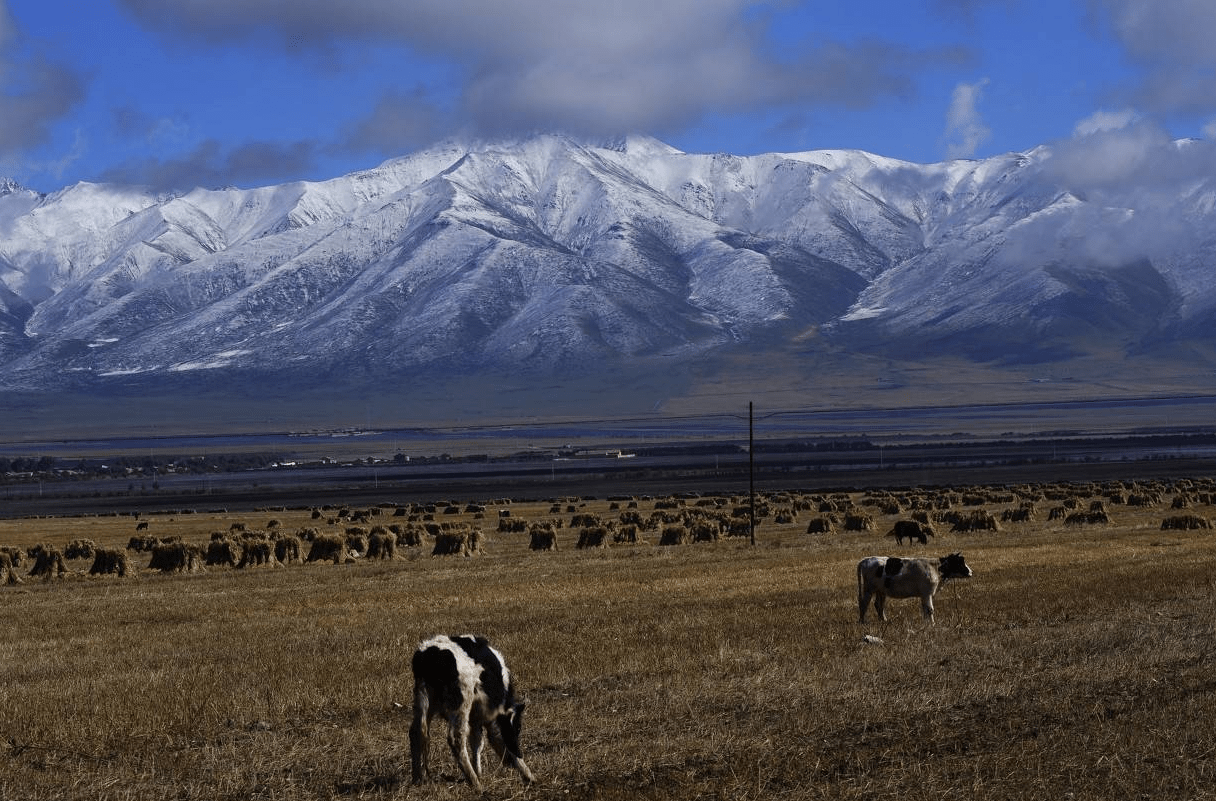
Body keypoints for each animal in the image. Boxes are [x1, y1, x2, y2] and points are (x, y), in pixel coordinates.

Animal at [408, 636, 532, 792]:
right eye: (518, 727)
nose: (508, 762)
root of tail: (428, 653)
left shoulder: (476, 718)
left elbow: (478, 742)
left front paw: (478, 771)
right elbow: (499, 740)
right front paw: (528, 774)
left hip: (423, 700)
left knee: (416, 732)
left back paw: (418, 778)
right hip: (462, 702)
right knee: (456, 738)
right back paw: (475, 783)